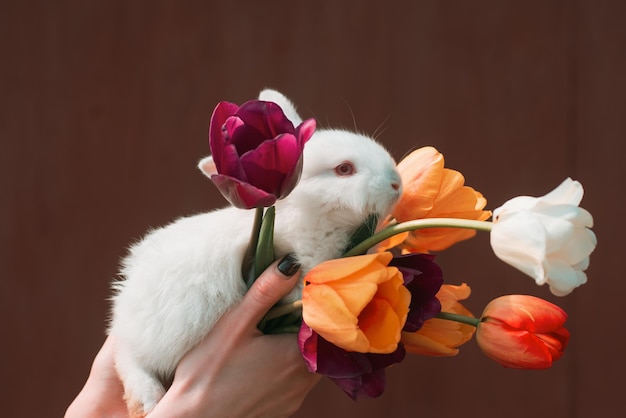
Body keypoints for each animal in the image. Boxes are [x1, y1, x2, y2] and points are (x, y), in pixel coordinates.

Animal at [107, 89, 400, 414]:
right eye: (344, 169)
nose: (396, 183)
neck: (307, 212)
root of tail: (122, 307)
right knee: (129, 359)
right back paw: (147, 401)